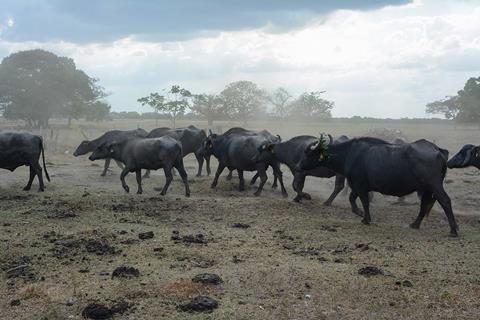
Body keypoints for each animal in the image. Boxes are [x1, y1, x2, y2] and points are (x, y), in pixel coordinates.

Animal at [298, 136, 460, 236]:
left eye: (308, 153)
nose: (299, 166)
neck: (349, 153)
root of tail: (437, 150)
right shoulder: (358, 185)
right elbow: (352, 199)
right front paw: (360, 213)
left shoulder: (359, 184)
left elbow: (364, 202)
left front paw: (366, 218)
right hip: (426, 189)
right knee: (424, 205)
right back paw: (414, 224)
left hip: (434, 185)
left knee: (445, 201)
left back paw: (453, 230)